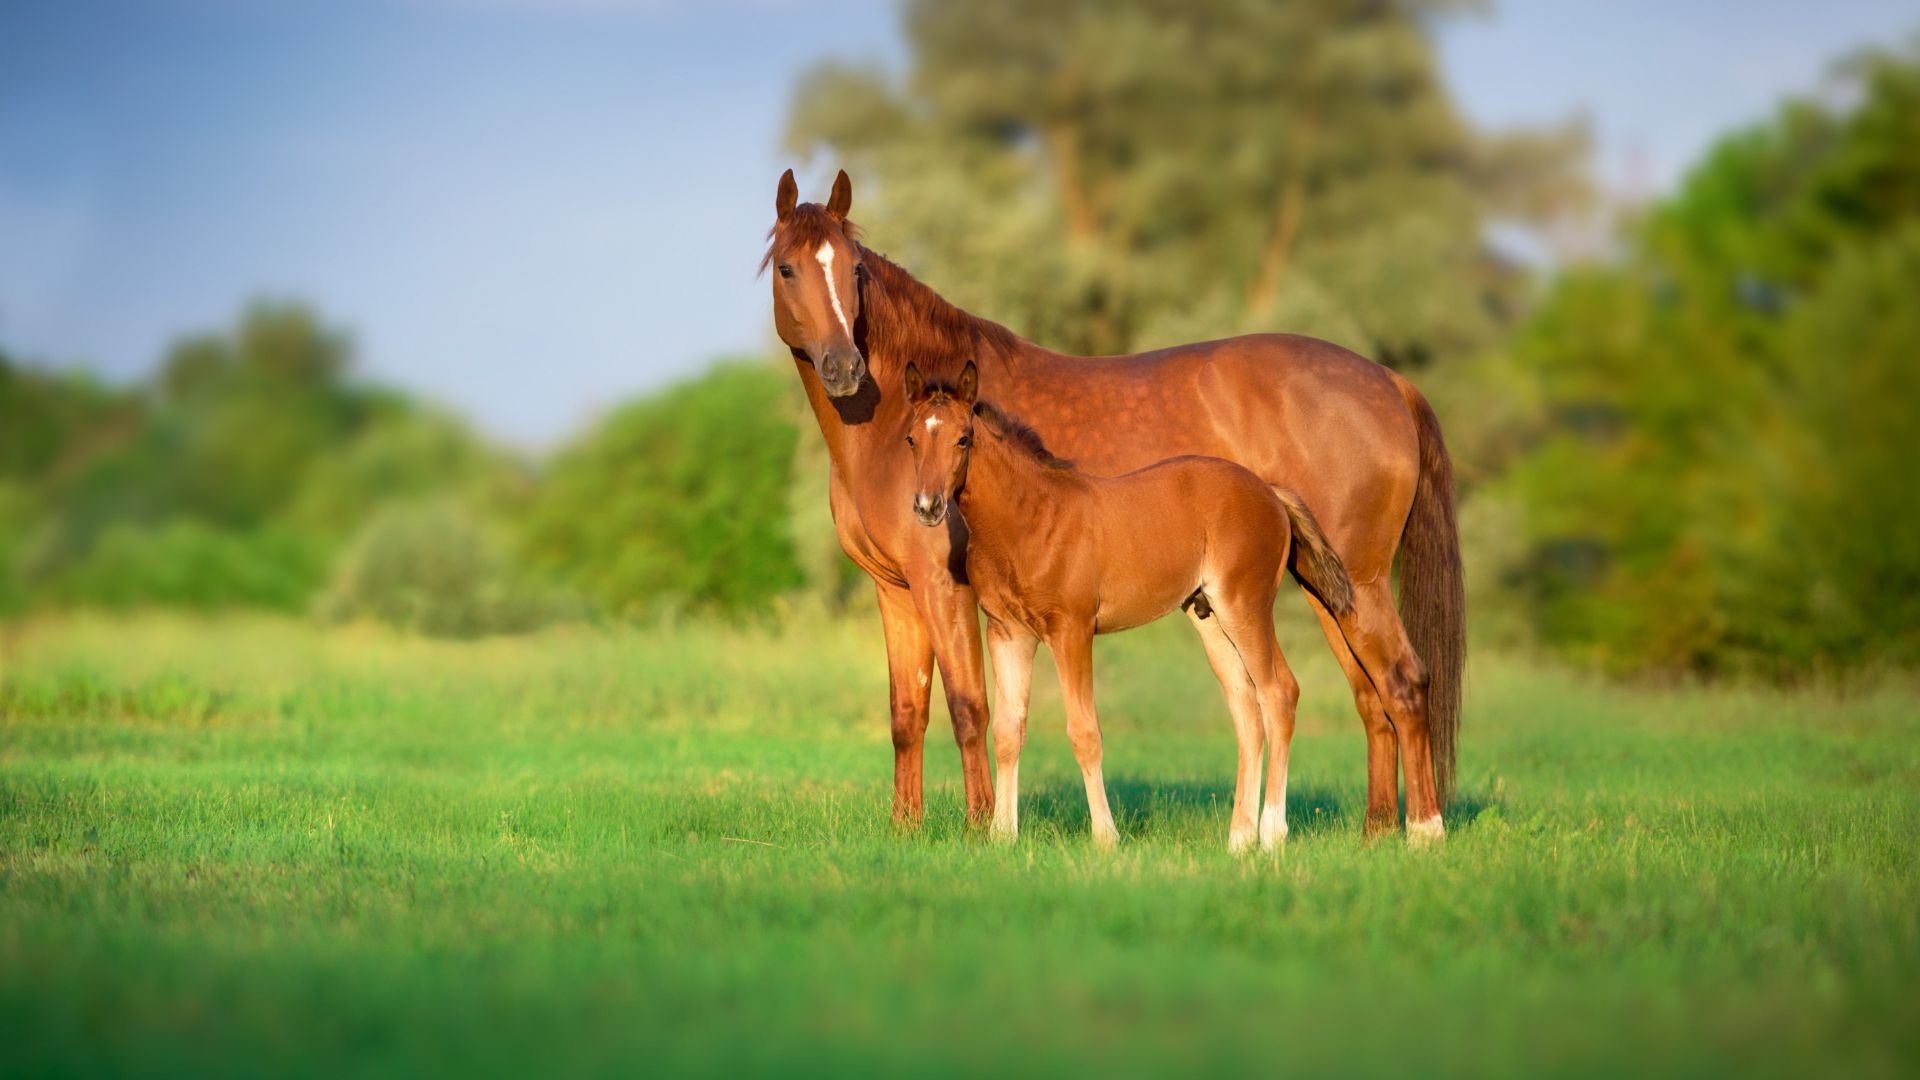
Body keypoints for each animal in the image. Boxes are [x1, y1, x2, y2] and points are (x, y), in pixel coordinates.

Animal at [903, 360, 1357, 851]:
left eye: (963, 438)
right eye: (911, 438)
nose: (927, 507)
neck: (1031, 519)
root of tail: (1272, 493)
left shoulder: (1072, 630)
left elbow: (1085, 732)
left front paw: (1106, 837)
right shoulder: (1008, 632)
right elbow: (1008, 731)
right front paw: (1002, 836)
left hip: (1245, 605)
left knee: (1278, 694)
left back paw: (1272, 834)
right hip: (1210, 617)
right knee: (1246, 712)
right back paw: (1239, 839)